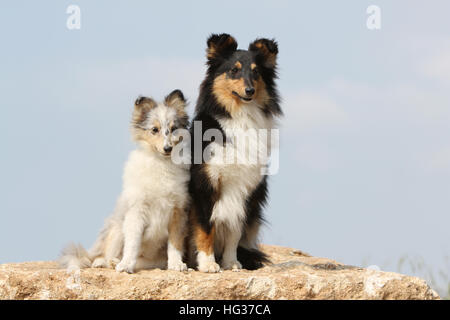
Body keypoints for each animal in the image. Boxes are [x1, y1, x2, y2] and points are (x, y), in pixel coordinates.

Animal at [189, 33, 282, 272]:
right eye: (234, 70)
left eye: (256, 72)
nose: (249, 91)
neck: (241, 115)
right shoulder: (205, 184)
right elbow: (206, 227)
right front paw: (208, 264)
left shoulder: (245, 188)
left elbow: (234, 229)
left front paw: (231, 263)